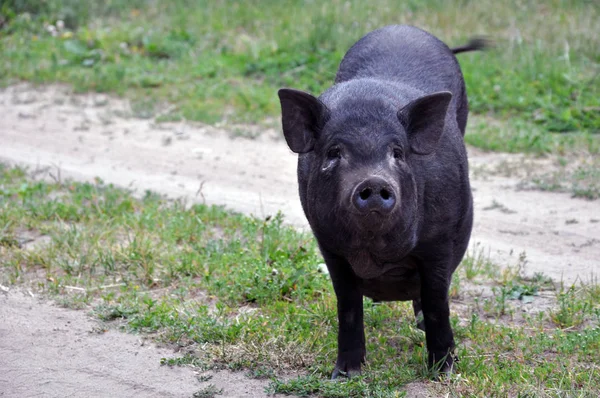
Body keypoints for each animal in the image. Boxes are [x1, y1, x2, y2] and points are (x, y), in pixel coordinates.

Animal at [280, 25, 482, 380]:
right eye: (334, 152)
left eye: (397, 152)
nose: (373, 181)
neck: (375, 253)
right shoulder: (329, 245)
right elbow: (347, 304)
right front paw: (344, 374)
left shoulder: (440, 241)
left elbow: (437, 303)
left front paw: (443, 373)